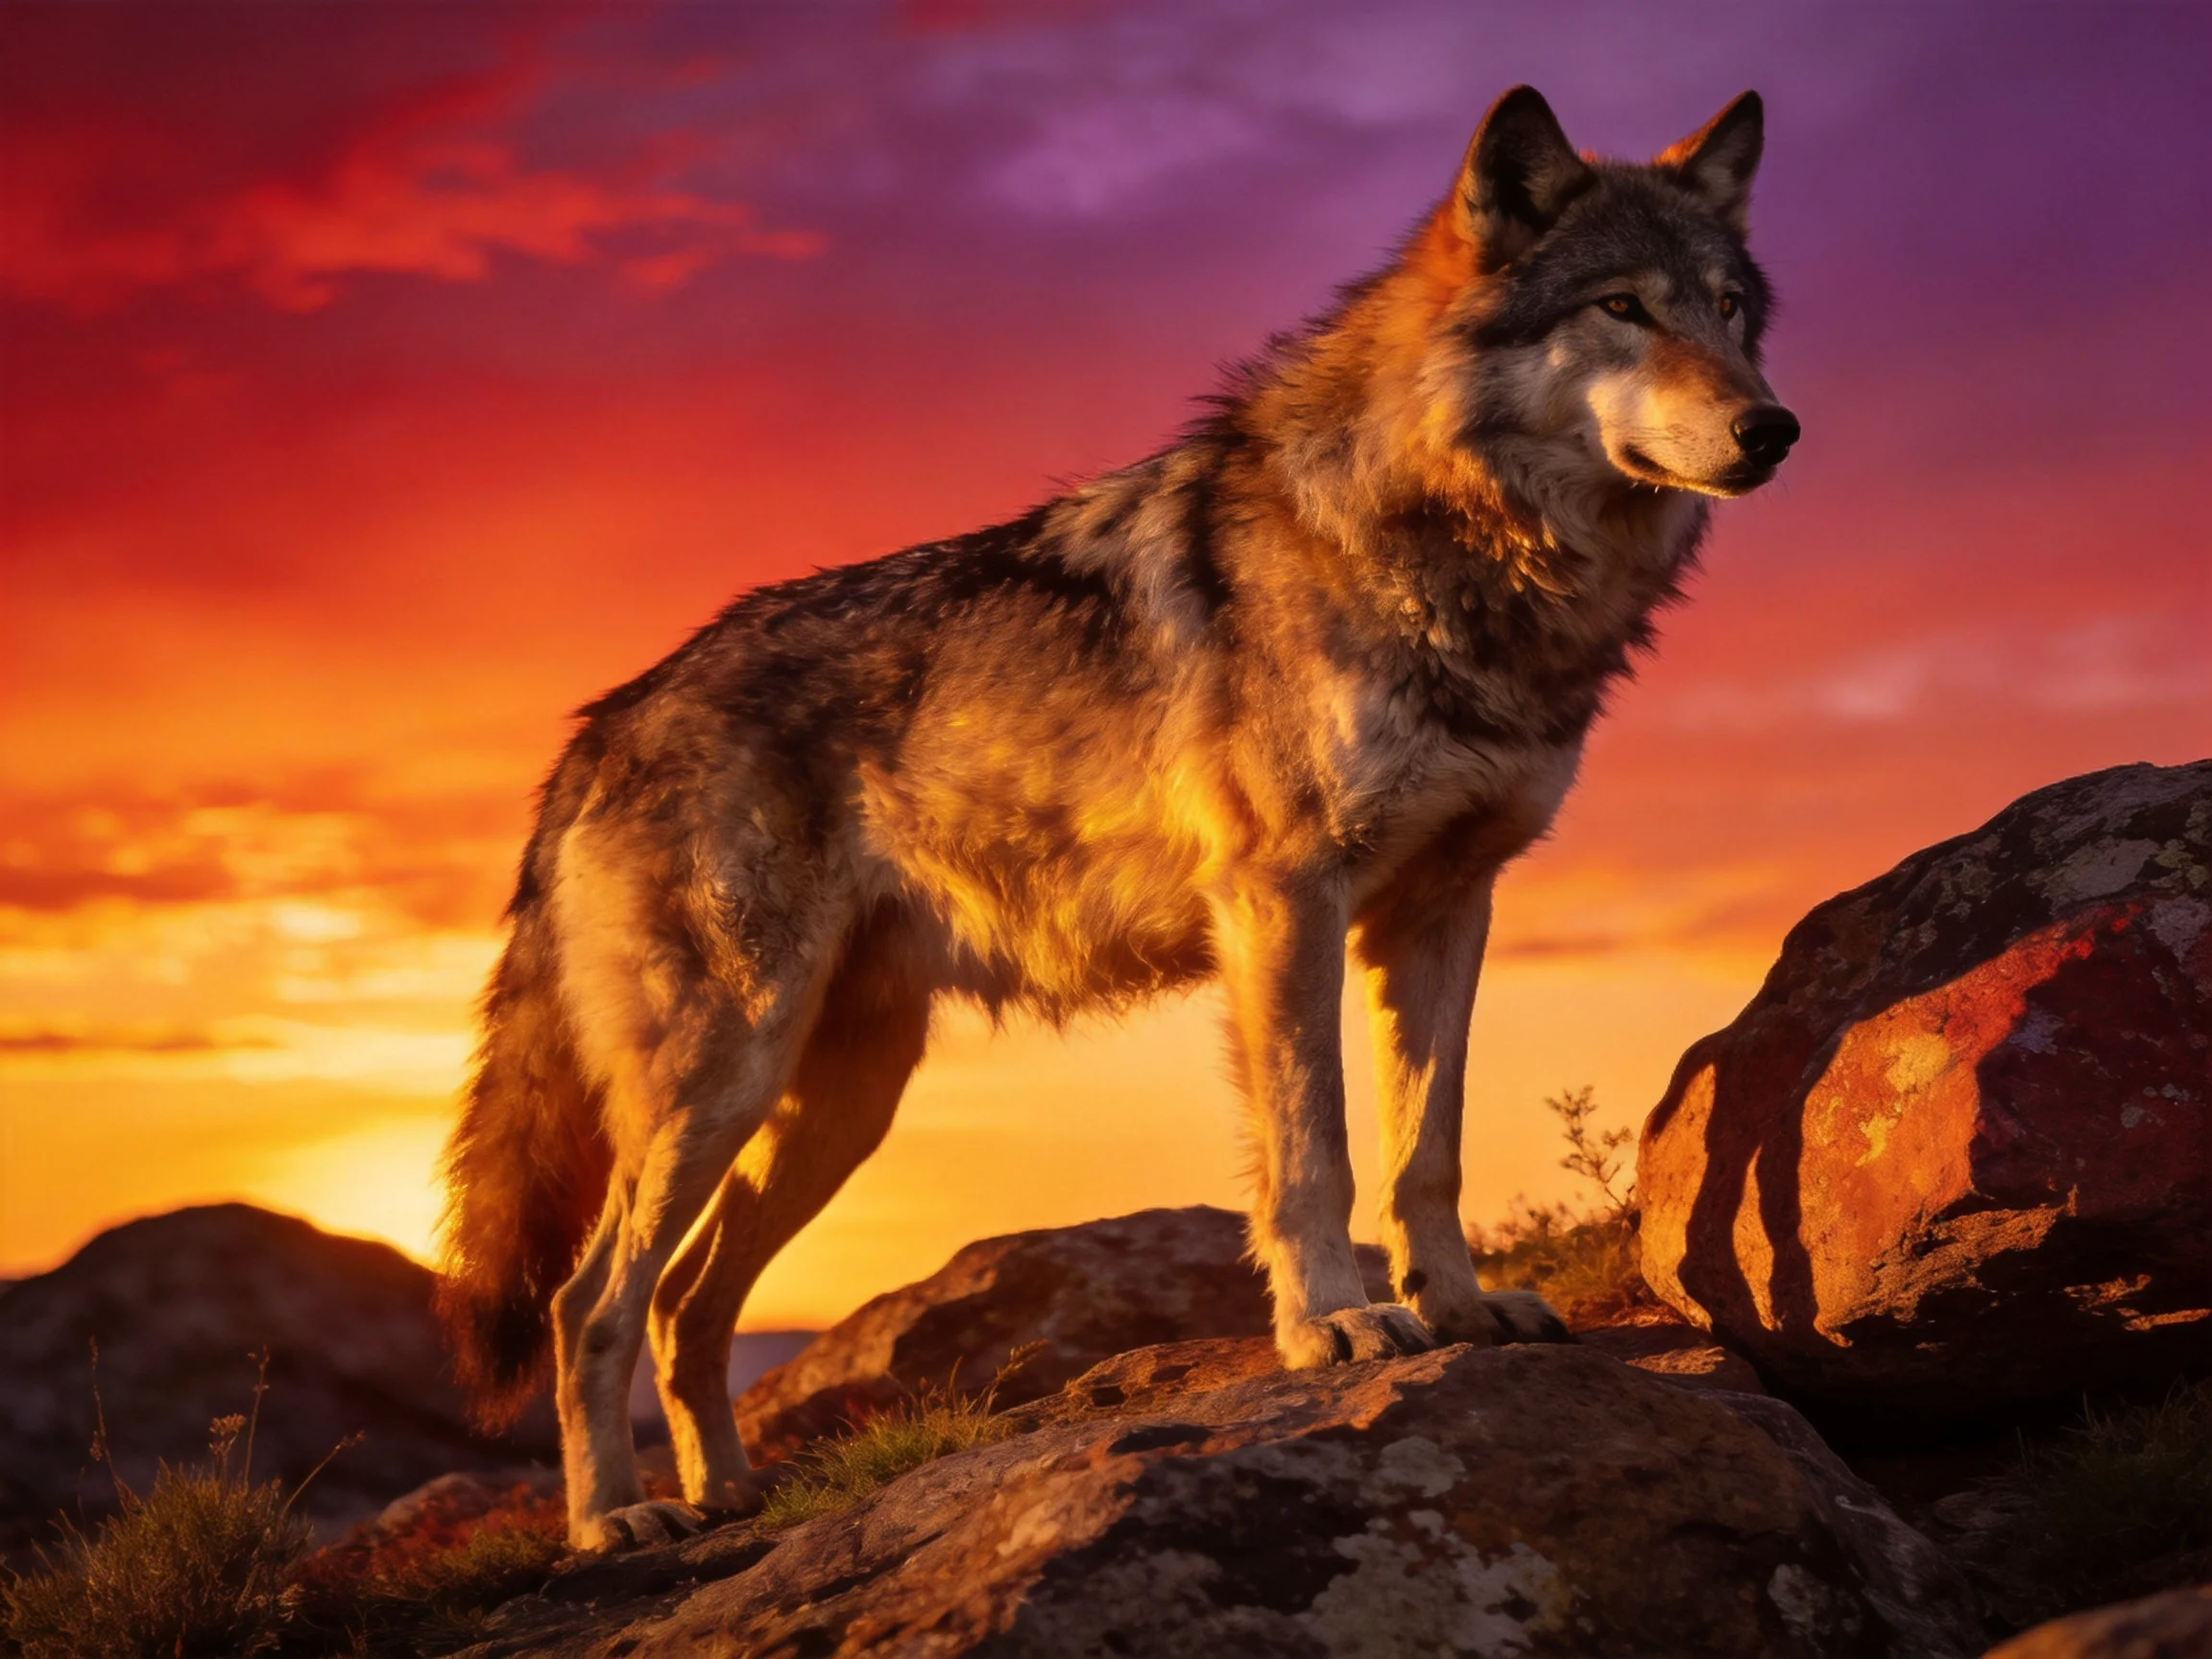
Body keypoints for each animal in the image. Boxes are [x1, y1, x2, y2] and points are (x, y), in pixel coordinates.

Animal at [436, 85, 1797, 1550]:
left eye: (1731, 310)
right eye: (1624, 307)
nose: (1774, 428)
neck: (1459, 553)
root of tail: (602, 720)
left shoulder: (1445, 907)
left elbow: (1426, 1146)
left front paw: (1459, 1307)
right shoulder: (1285, 902)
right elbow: (1313, 1148)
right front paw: (1334, 1327)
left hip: (839, 1102)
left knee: (687, 1306)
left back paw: (734, 1496)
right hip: (721, 1076)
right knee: (587, 1304)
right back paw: (613, 1525)